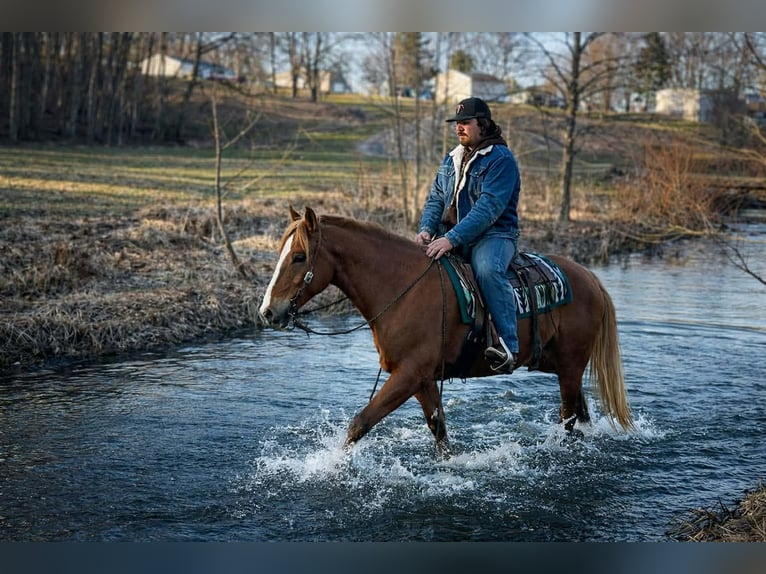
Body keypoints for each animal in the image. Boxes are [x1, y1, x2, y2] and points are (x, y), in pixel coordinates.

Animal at [258, 206, 633, 454]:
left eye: (299, 257)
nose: (267, 311)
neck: (402, 286)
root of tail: (591, 279)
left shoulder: (408, 375)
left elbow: (360, 422)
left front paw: (330, 466)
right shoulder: (422, 378)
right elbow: (439, 429)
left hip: (569, 366)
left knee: (568, 418)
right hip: (557, 364)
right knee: (580, 415)